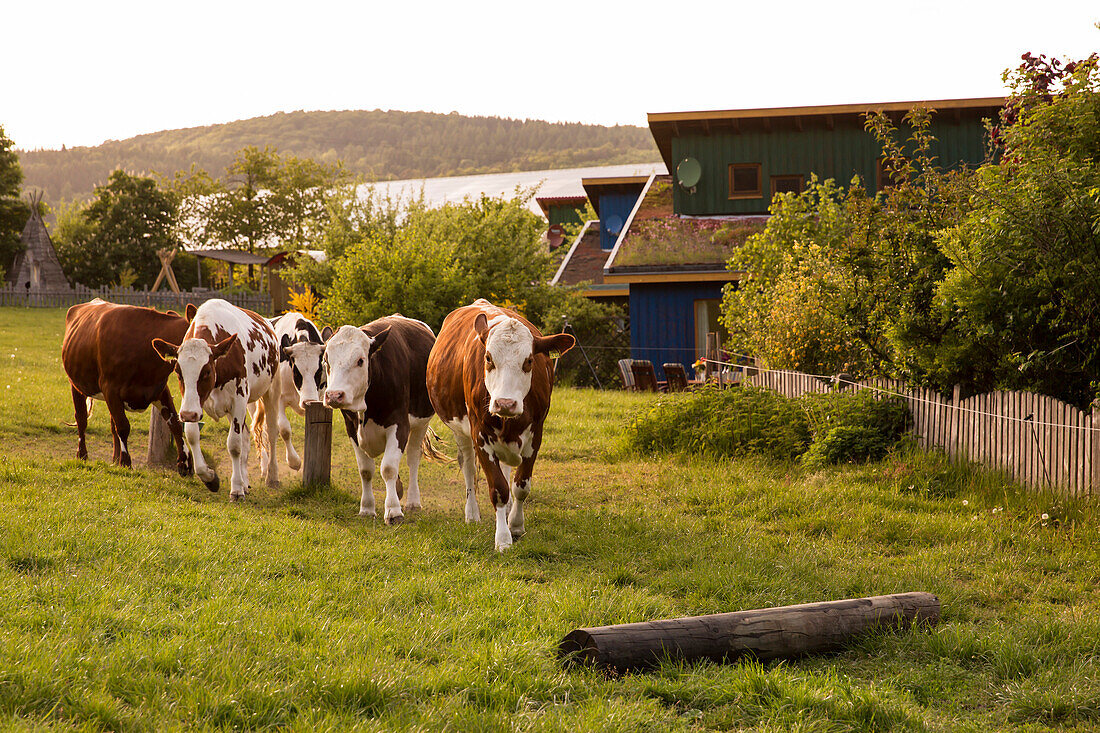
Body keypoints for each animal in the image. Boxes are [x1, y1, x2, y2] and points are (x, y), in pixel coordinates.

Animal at [60, 297, 193, 473]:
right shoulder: (110, 388)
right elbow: (123, 426)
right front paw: (126, 462)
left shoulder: (159, 389)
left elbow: (175, 423)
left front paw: (185, 463)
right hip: (76, 385)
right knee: (82, 419)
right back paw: (82, 455)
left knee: (112, 425)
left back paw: (115, 459)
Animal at [152, 297, 281, 497]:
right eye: (178, 372)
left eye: (206, 371)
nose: (187, 415)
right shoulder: (193, 403)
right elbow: (192, 435)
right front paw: (210, 478)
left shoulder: (238, 400)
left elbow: (234, 444)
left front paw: (236, 490)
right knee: (245, 437)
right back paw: (244, 481)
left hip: (271, 392)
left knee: (272, 432)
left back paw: (271, 476)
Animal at [249, 312, 330, 473]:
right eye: (296, 372)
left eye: (319, 371)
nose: (308, 401)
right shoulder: (278, 399)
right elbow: (285, 429)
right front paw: (294, 461)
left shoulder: (320, 395)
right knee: (261, 429)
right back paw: (265, 465)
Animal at [319, 310, 433, 521]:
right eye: (326, 360)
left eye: (360, 360)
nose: (334, 395)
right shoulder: (351, 428)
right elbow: (366, 470)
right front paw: (367, 508)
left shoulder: (399, 424)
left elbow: (388, 468)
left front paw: (394, 511)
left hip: (421, 422)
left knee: (413, 457)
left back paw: (413, 501)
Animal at [424, 297, 576, 548]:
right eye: (488, 358)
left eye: (529, 360)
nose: (505, 403)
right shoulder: (479, 435)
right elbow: (498, 489)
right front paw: (503, 539)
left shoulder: (536, 434)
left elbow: (520, 486)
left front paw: (515, 525)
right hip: (460, 431)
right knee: (468, 467)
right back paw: (472, 514)